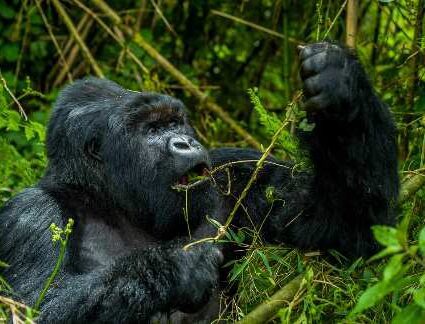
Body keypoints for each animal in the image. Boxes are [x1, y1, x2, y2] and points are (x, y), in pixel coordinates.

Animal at [0, 42, 398, 322]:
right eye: (152, 129)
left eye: (175, 122)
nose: (185, 142)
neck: (113, 201)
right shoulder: (28, 216)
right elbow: (35, 307)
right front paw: (176, 267)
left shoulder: (235, 176)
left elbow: (346, 226)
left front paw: (340, 83)